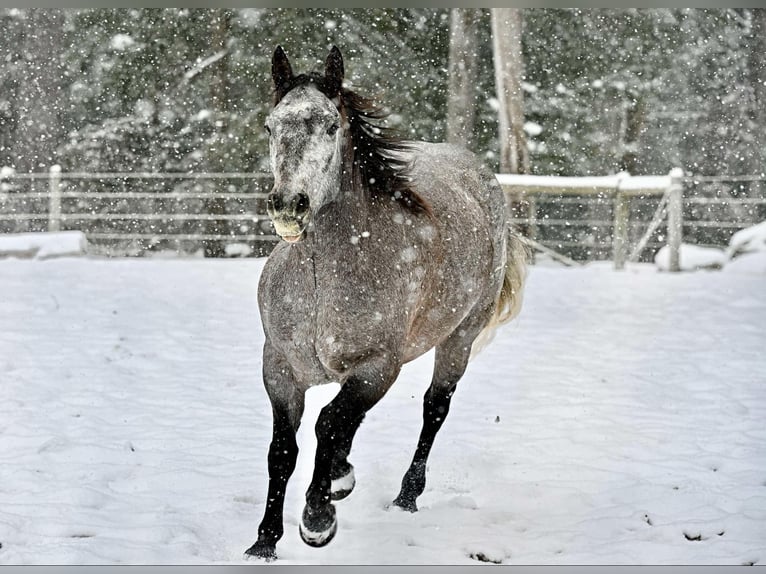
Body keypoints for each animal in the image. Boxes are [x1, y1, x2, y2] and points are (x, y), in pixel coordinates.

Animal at [246, 46, 528, 564]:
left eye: (330, 126)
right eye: (271, 126)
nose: (289, 206)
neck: (323, 280)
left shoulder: (378, 366)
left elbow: (328, 424)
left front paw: (317, 519)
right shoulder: (279, 367)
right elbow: (284, 450)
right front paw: (264, 542)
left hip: (458, 339)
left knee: (434, 409)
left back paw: (405, 496)